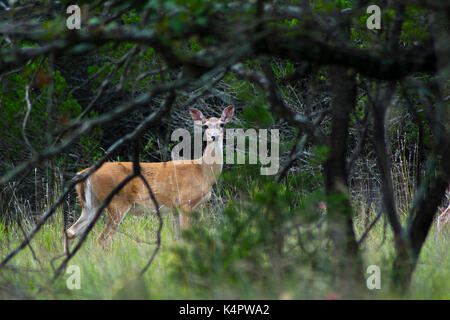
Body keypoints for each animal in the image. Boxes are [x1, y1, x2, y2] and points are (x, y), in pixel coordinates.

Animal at [68, 105, 236, 245]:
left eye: (222, 124)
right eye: (205, 125)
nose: (214, 136)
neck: (203, 171)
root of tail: (83, 173)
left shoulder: (175, 209)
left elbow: (178, 238)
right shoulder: (185, 202)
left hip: (91, 205)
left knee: (71, 231)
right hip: (117, 203)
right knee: (104, 239)